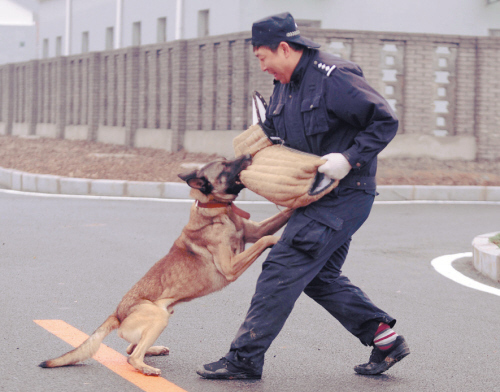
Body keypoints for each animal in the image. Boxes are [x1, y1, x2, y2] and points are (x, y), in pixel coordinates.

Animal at [39, 154, 292, 376]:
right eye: (225, 166)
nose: (249, 154)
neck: (216, 210)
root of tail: (118, 313)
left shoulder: (256, 230)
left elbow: (276, 222)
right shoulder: (230, 267)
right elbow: (265, 239)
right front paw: (279, 239)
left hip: (163, 317)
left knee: (130, 347)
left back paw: (155, 350)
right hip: (158, 317)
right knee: (132, 356)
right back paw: (146, 368)